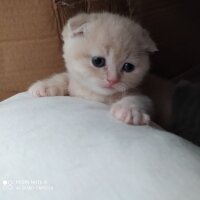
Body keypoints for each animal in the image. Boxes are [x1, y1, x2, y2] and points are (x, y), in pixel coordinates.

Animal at [28, 12, 156, 125]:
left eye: (128, 67)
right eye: (98, 61)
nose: (112, 80)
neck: (94, 95)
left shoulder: (141, 93)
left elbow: (140, 99)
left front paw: (130, 110)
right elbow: (66, 77)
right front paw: (45, 86)